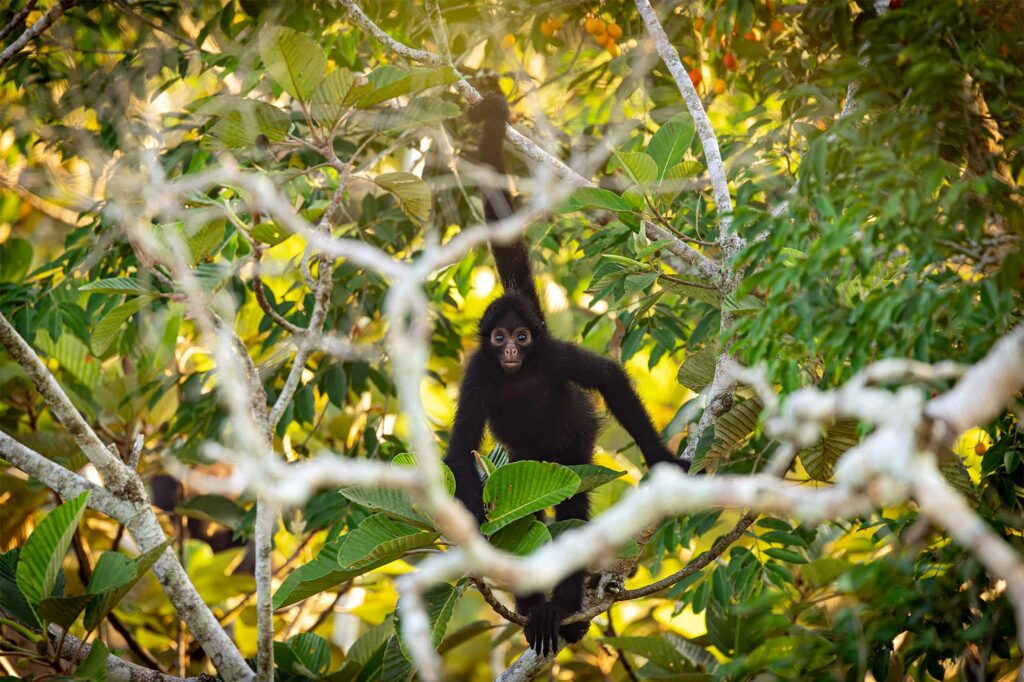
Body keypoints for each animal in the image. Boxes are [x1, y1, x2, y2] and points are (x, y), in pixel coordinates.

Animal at [450, 94, 684, 655]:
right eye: (498, 338)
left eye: (521, 337)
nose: (513, 349)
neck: (516, 376)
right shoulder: (479, 372)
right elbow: (461, 449)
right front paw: (478, 529)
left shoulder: (552, 355)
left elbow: (610, 378)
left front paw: (662, 461)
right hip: (524, 464)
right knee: (534, 513)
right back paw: (537, 611)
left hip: (573, 450)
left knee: (572, 510)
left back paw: (562, 610)